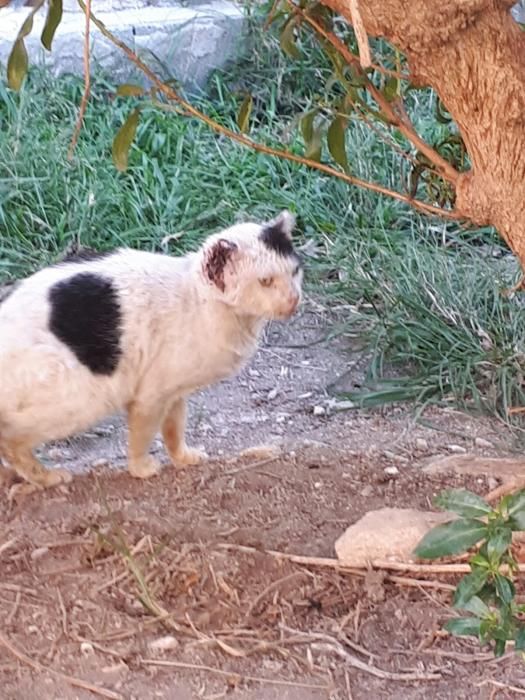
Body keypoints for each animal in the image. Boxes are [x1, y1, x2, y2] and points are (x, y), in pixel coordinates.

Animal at [0, 211, 300, 490]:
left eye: (295, 271)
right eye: (265, 281)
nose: (294, 298)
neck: (198, 300)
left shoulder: (174, 390)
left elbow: (174, 429)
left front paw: (184, 458)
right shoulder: (150, 396)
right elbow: (142, 436)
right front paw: (141, 468)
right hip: (77, 398)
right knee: (11, 443)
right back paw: (47, 477)